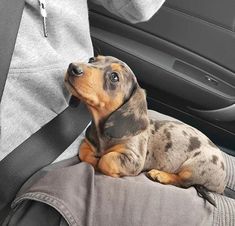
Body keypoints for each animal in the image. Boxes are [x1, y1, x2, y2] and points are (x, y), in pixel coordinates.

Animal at [64, 55, 226, 205]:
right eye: (92, 59)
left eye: (114, 77)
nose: (73, 67)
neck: (103, 131)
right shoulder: (88, 142)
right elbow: (84, 151)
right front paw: (93, 158)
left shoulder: (133, 158)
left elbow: (106, 160)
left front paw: (103, 164)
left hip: (193, 168)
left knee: (184, 182)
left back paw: (161, 175)